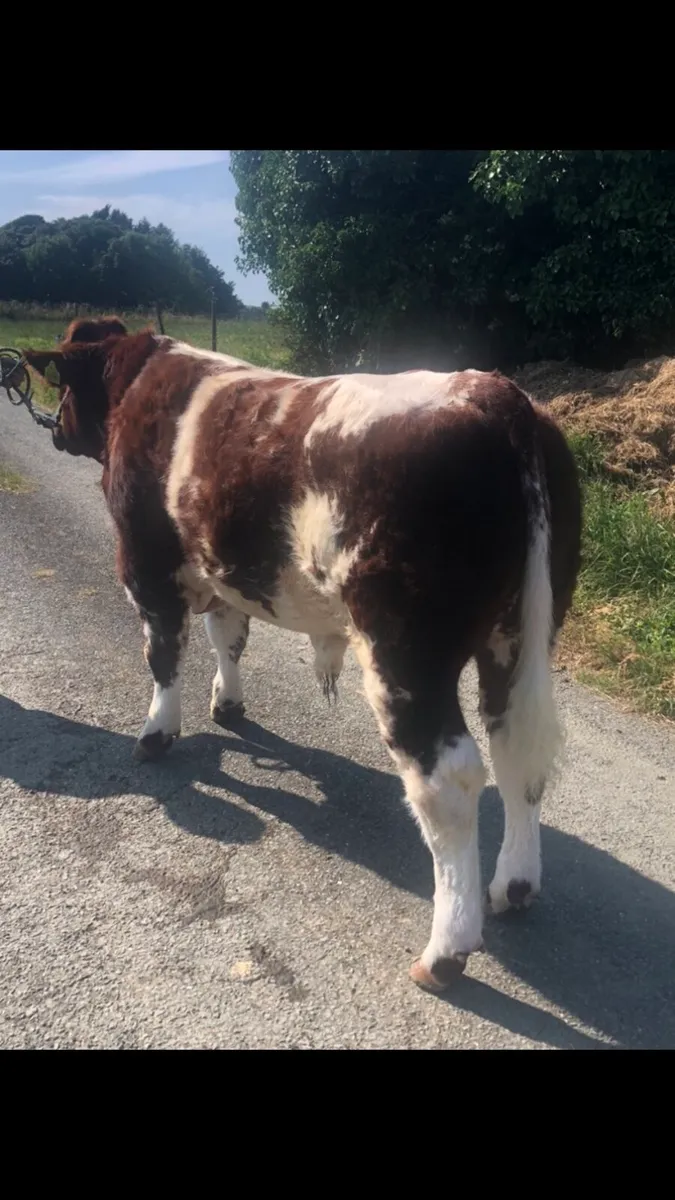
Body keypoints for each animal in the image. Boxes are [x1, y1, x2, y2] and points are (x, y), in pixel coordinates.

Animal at [25, 318, 582, 993]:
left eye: (65, 385)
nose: (54, 430)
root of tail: (494, 394)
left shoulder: (146, 562)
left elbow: (163, 653)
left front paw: (157, 733)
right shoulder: (222, 568)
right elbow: (227, 636)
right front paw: (227, 704)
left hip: (405, 650)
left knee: (449, 780)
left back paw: (445, 952)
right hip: (521, 634)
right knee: (516, 752)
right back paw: (514, 886)